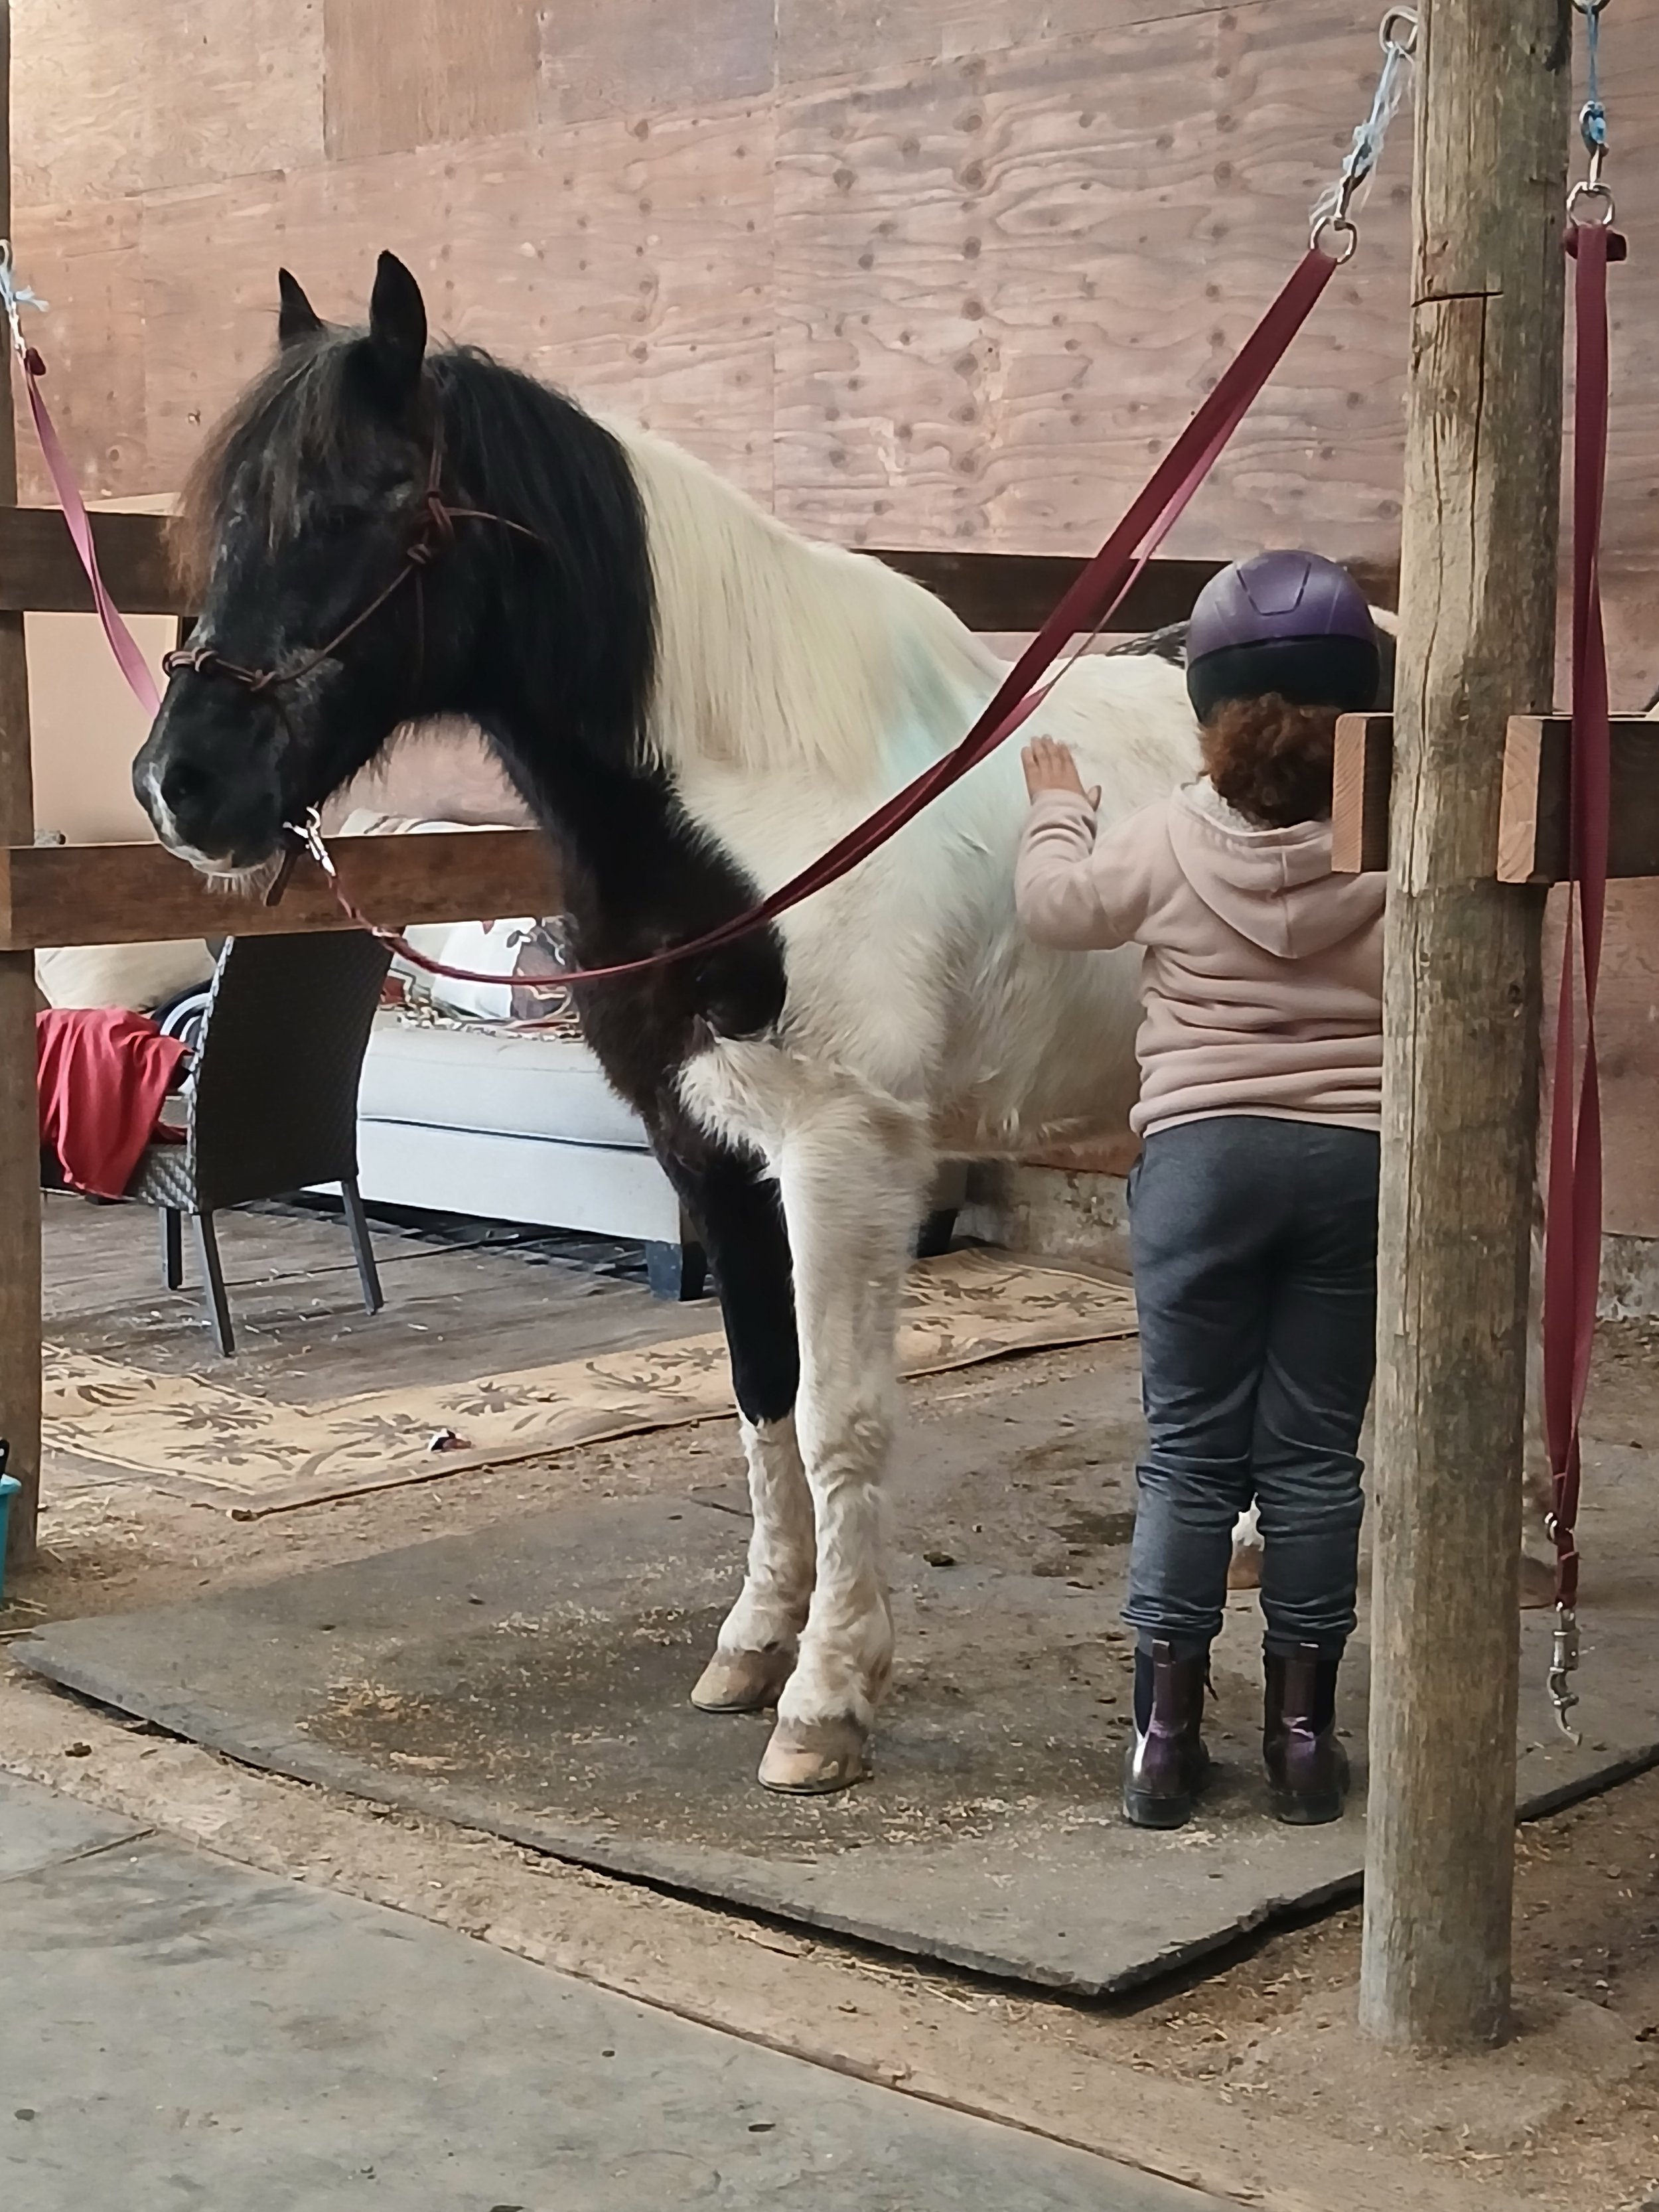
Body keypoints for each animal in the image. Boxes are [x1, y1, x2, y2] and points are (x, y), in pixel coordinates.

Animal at [132, 253, 1547, 1795]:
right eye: (225, 517)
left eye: (367, 501)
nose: (179, 783)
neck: (766, 796)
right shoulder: (708, 1154)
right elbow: (760, 1396)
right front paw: (755, 1646)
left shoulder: (843, 1156)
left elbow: (839, 1415)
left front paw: (827, 1698)